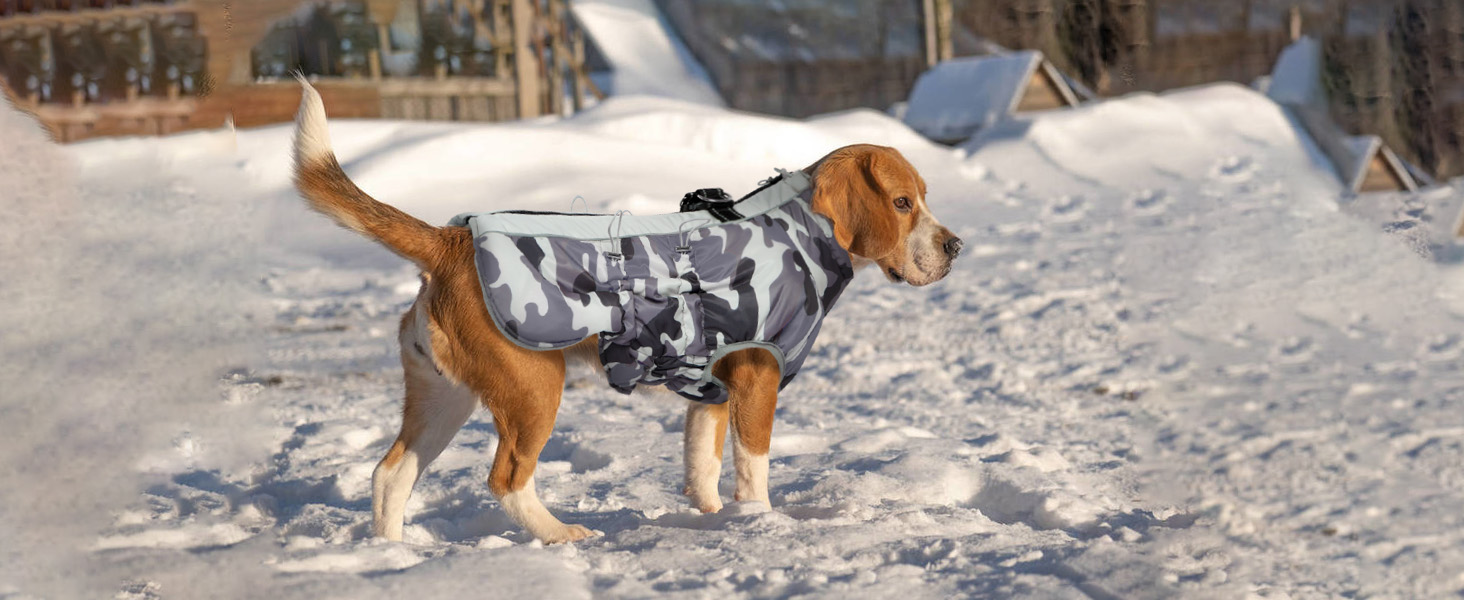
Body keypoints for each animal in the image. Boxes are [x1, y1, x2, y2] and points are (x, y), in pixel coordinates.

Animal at [291, 79, 966, 544]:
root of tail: (451, 239)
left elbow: (701, 467)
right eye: (902, 203)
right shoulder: (757, 379)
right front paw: (760, 523)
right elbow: (753, 470)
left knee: (390, 474)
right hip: (533, 388)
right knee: (505, 480)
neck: (801, 231)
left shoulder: (712, 391)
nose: (955, 246)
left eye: (923, 199)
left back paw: (393, 555)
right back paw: (559, 535)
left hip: (443, 396)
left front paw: (713, 519)